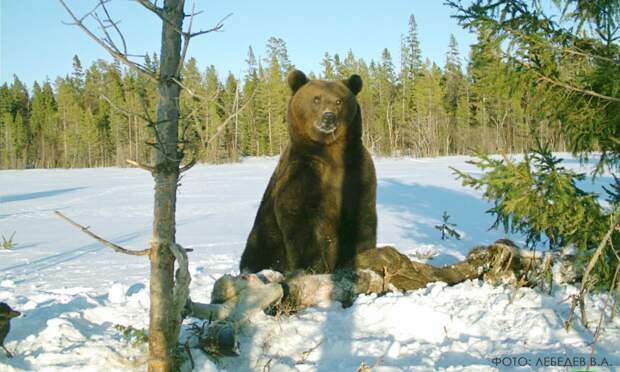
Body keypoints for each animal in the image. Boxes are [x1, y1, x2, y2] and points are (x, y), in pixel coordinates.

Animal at [239, 70, 376, 274]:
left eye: (339, 101)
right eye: (316, 99)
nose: (328, 117)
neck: (330, 151)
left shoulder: (357, 168)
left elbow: (363, 214)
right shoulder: (303, 171)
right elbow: (300, 219)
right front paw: (313, 265)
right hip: (265, 235)